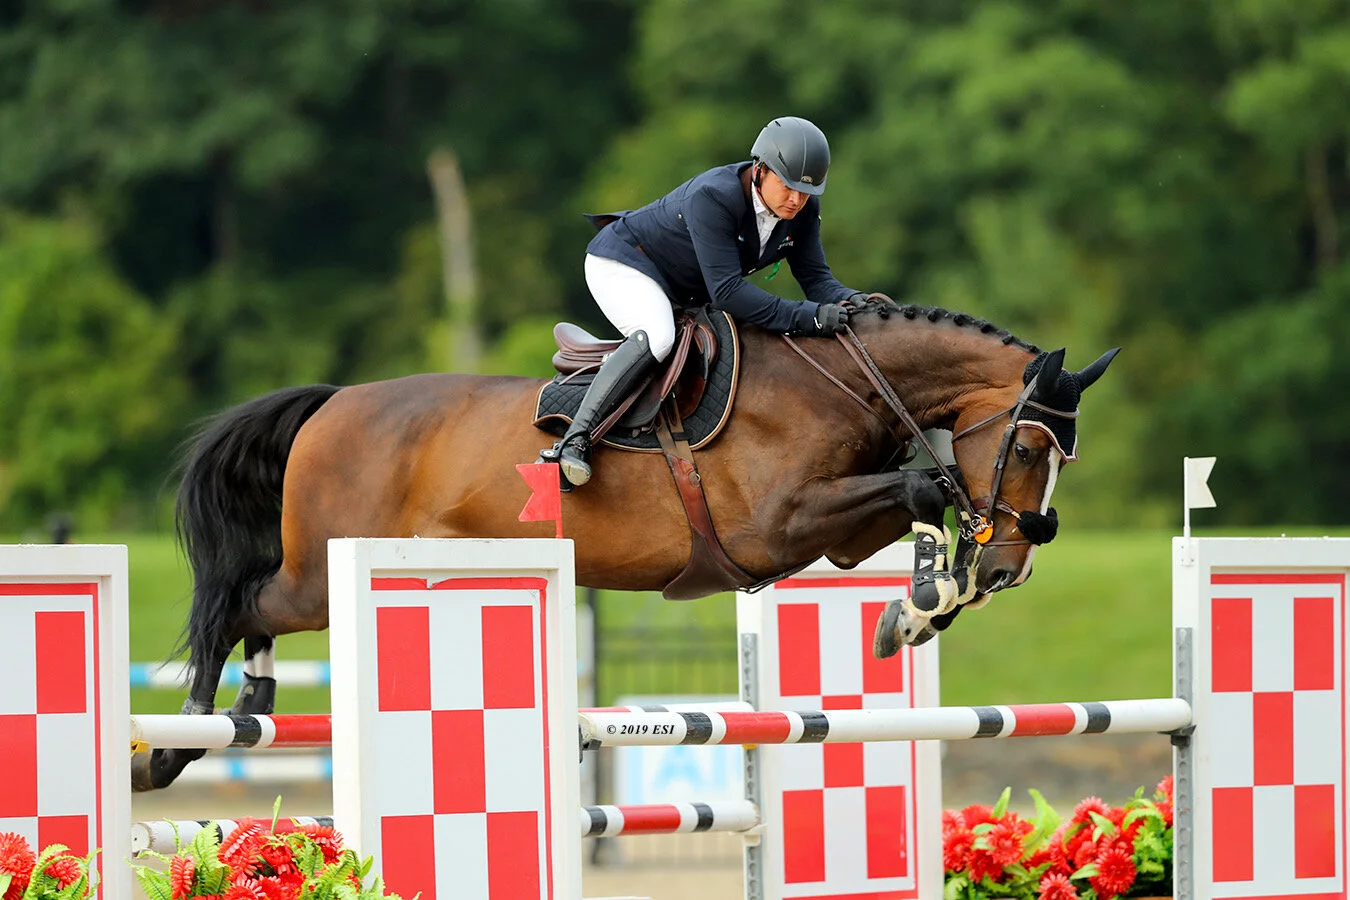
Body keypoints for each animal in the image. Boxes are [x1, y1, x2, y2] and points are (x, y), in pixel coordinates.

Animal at [135, 300, 1118, 790]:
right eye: (1030, 449)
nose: (1012, 567)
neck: (839, 380)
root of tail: (334, 402)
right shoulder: (774, 527)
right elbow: (927, 485)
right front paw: (924, 602)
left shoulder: (829, 536)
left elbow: (925, 496)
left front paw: (921, 607)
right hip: (321, 569)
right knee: (239, 602)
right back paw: (181, 740)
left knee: (253, 613)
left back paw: (247, 707)